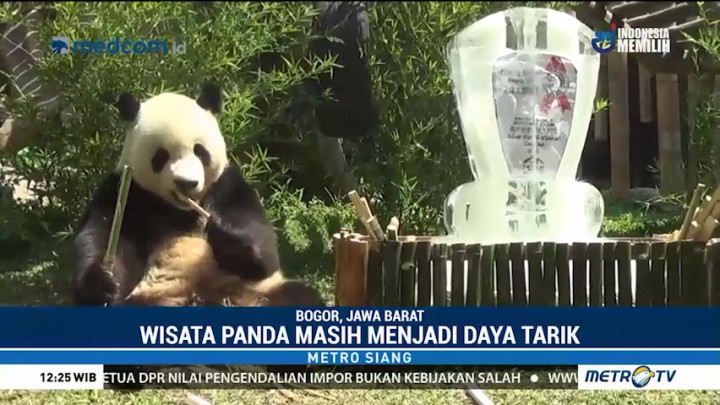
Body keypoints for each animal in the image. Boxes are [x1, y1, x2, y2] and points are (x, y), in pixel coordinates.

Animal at [71, 82, 325, 308]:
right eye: (161, 156)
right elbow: (102, 236)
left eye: (199, 151)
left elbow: (263, 246)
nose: (187, 183)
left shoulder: (228, 185)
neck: (180, 210)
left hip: (259, 290)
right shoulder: (128, 192)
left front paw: (227, 236)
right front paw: (103, 283)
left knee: (299, 295)